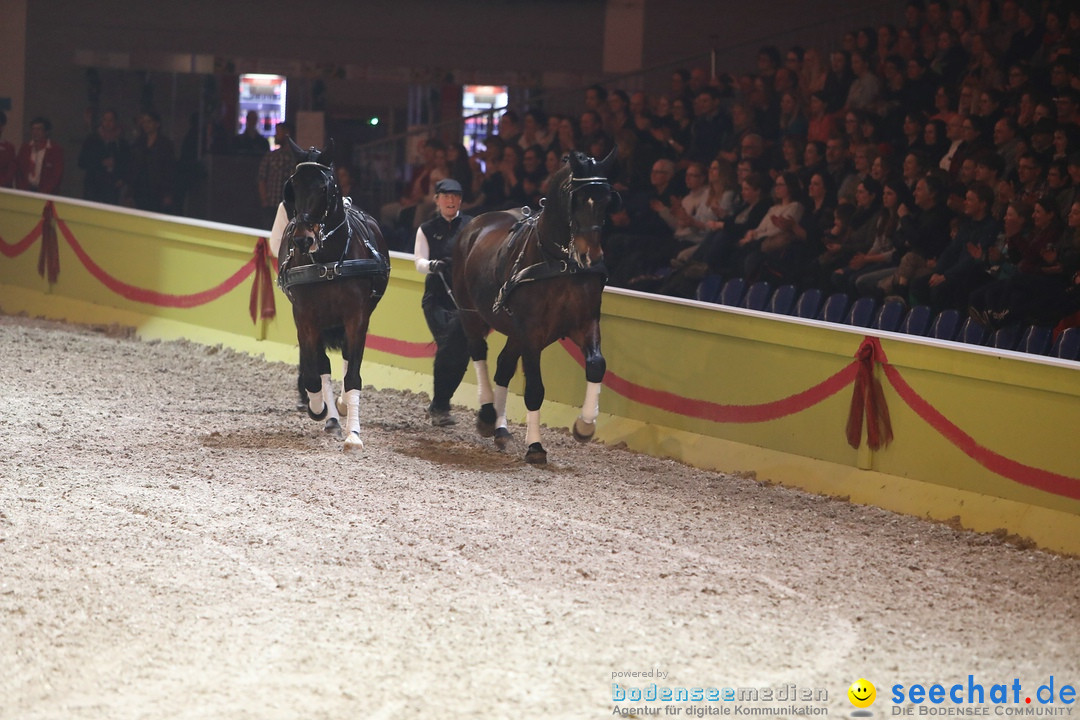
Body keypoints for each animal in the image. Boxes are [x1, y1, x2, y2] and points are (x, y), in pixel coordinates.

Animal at [276, 142, 390, 451]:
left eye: (325, 187)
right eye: (292, 186)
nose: (303, 239)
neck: (328, 261)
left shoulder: (357, 317)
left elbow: (353, 374)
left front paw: (353, 434)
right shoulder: (305, 317)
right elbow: (315, 374)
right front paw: (318, 408)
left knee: (348, 359)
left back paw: (341, 407)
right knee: (323, 366)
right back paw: (330, 417)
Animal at [449, 153, 617, 468]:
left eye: (606, 199)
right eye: (575, 198)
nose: (591, 256)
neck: (561, 263)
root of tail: (477, 222)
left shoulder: (585, 323)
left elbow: (597, 365)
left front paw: (585, 425)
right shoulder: (532, 334)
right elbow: (535, 389)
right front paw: (536, 446)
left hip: (514, 331)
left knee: (503, 367)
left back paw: (501, 429)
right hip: (470, 313)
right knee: (479, 353)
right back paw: (488, 415)